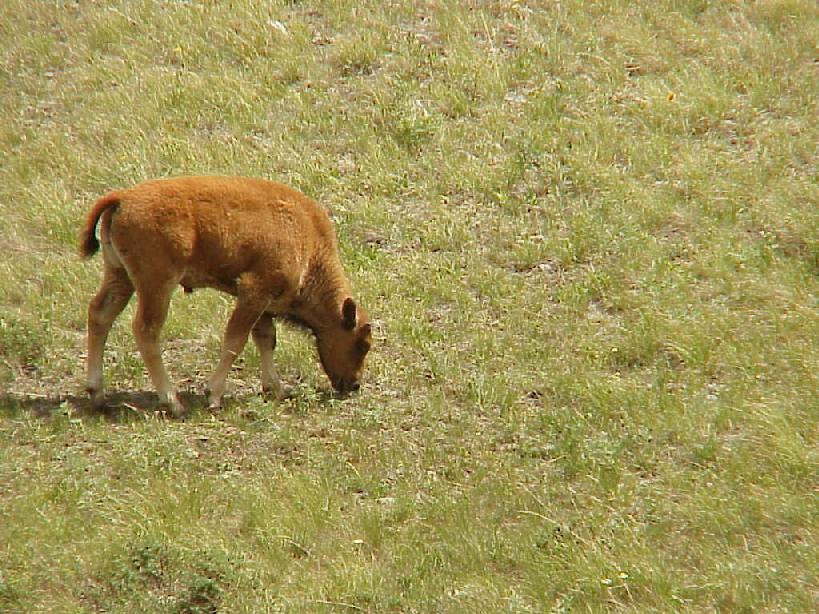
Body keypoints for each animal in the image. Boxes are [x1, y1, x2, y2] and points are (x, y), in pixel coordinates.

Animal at [78, 178, 374, 418]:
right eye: (361, 344)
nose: (354, 384)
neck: (310, 245)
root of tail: (123, 197)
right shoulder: (254, 292)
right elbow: (235, 341)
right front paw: (214, 395)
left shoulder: (263, 305)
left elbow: (266, 339)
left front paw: (276, 389)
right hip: (157, 285)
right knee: (146, 330)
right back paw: (174, 403)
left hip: (119, 276)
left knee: (100, 315)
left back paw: (97, 395)